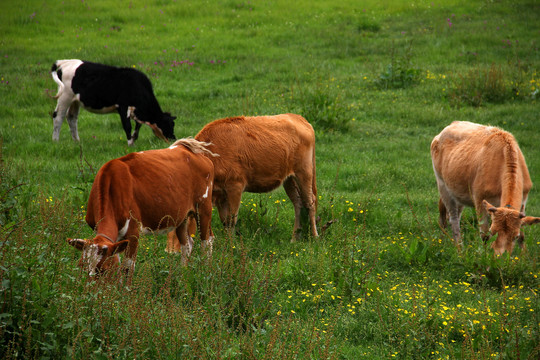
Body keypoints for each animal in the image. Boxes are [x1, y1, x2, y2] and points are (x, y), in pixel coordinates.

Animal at [68, 138, 216, 282]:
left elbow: (127, 269)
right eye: (81, 267)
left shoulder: (133, 233)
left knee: (207, 241)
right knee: (187, 245)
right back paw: (182, 275)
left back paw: (205, 274)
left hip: (203, 208)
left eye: (103, 270)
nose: (89, 290)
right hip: (181, 217)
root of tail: (188, 148)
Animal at [167, 114, 318, 252]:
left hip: (304, 172)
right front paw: (227, 245)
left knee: (310, 202)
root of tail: (298, 117)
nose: (169, 251)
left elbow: (231, 219)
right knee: (298, 203)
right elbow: (225, 221)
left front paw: (230, 246)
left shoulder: (235, 186)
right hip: (289, 179)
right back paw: (294, 238)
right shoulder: (220, 194)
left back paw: (314, 237)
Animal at [430, 121, 540, 256]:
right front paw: (485, 256)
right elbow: (484, 235)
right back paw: (460, 249)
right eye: (493, 232)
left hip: (458, 191)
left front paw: (523, 256)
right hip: (442, 185)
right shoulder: (479, 200)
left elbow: (523, 235)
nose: (500, 256)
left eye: (515, 236)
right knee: (453, 218)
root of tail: (450, 126)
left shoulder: (523, 201)